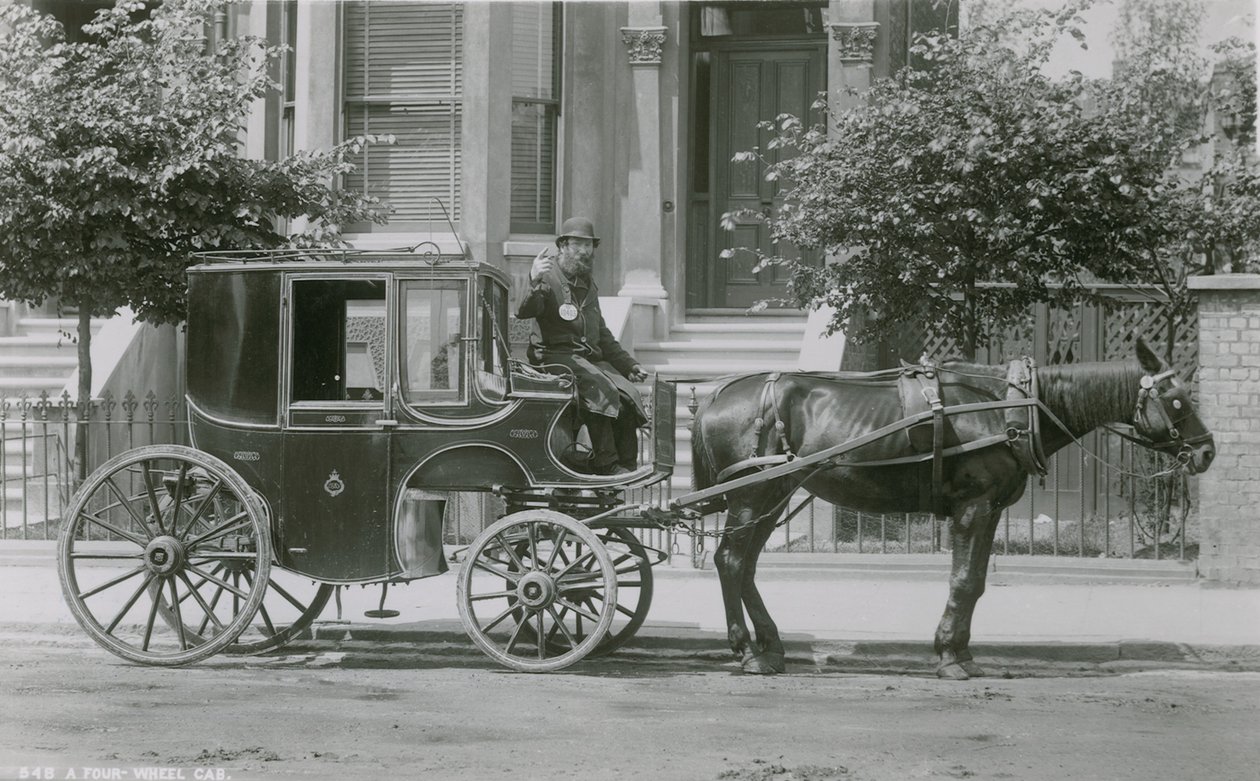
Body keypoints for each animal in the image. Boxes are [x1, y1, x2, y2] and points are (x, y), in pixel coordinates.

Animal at [695, 337, 1214, 680]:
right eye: (1177, 401)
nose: (1207, 451)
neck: (1010, 408)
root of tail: (715, 396)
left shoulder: (992, 509)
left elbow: (978, 582)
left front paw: (961, 651)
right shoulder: (974, 506)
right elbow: (963, 580)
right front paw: (948, 656)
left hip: (772, 496)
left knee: (745, 566)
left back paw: (771, 645)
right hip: (753, 496)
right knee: (732, 561)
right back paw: (747, 651)